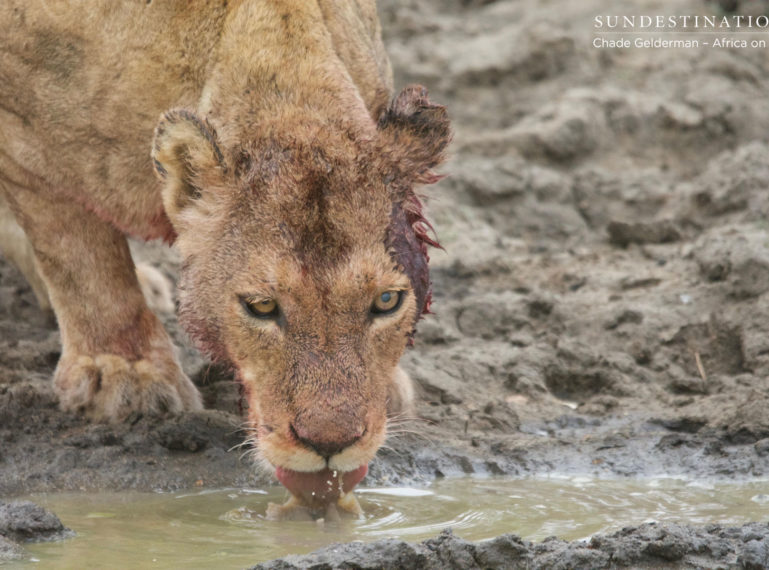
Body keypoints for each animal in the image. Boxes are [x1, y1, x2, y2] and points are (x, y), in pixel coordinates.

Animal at [0, 0, 448, 506]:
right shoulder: (29, 142)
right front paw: (125, 377)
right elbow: (82, 261)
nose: (330, 443)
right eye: (262, 307)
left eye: (386, 302)